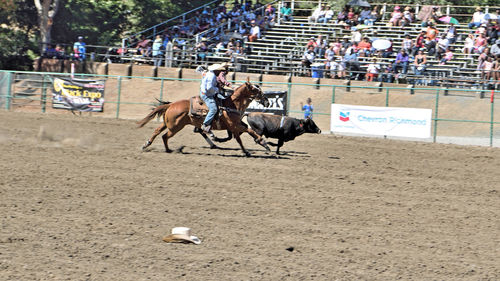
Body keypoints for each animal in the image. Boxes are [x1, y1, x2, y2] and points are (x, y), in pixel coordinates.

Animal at [137, 80, 270, 156]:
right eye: (255, 89)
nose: (267, 101)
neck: (231, 104)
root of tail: (171, 104)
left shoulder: (238, 124)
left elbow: (248, 131)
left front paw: (261, 144)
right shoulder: (234, 126)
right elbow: (242, 136)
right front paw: (252, 149)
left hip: (168, 124)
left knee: (157, 131)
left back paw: (147, 145)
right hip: (175, 127)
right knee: (165, 136)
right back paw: (168, 150)